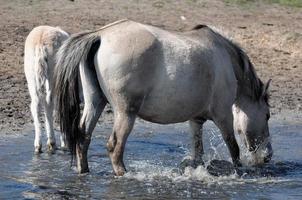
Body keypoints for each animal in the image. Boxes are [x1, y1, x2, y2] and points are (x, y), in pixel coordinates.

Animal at [24, 25, 69, 153]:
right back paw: (52, 143)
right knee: (49, 103)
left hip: (31, 76)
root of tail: (40, 43)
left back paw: (38, 145)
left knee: (36, 105)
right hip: (53, 77)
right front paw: (64, 142)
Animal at [54, 19, 274, 175]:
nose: (268, 156)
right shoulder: (223, 116)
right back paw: (123, 173)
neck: (225, 59)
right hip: (125, 113)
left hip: (95, 103)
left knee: (83, 135)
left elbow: (198, 152)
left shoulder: (196, 120)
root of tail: (100, 35)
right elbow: (233, 148)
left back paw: (84, 170)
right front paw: (239, 171)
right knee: (114, 146)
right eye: (267, 115)